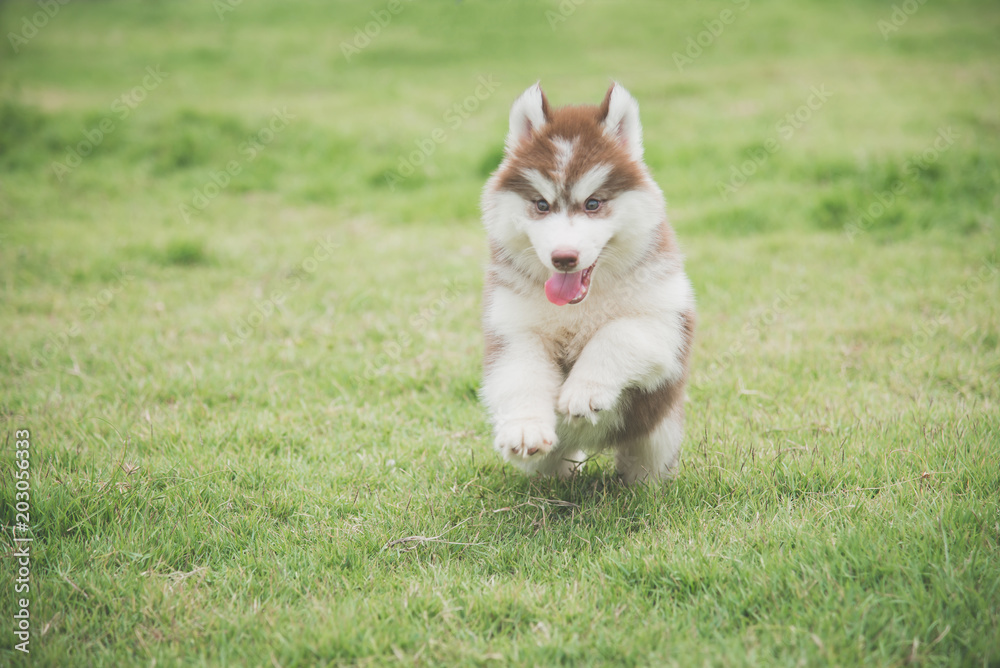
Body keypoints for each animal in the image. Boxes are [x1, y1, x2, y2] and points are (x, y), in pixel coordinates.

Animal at [480, 82, 692, 486]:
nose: (564, 257)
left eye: (593, 203)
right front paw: (525, 428)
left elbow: (615, 334)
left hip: (660, 433)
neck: (581, 305)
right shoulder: (513, 330)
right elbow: (522, 374)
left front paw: (583, 391)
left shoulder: (665, 324)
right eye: (542, 205)